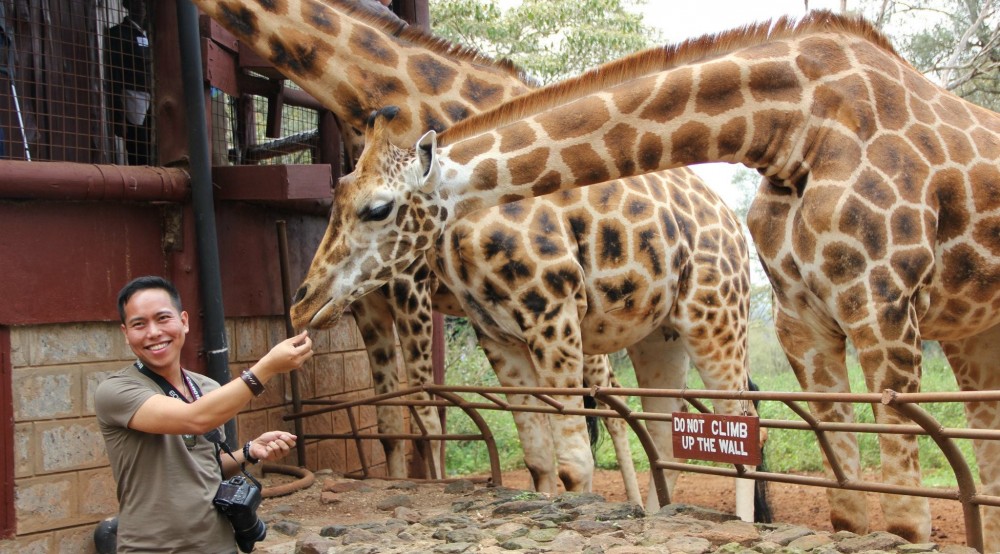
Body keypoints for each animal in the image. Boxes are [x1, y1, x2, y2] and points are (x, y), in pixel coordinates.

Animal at [290, 9, 1000, 548]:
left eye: (376, 208)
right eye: (335, 197)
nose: (303, 303)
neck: (792, 126)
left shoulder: (883, 312)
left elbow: (905, 518)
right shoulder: (804, 324)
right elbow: (849, 509)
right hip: (963, 334)